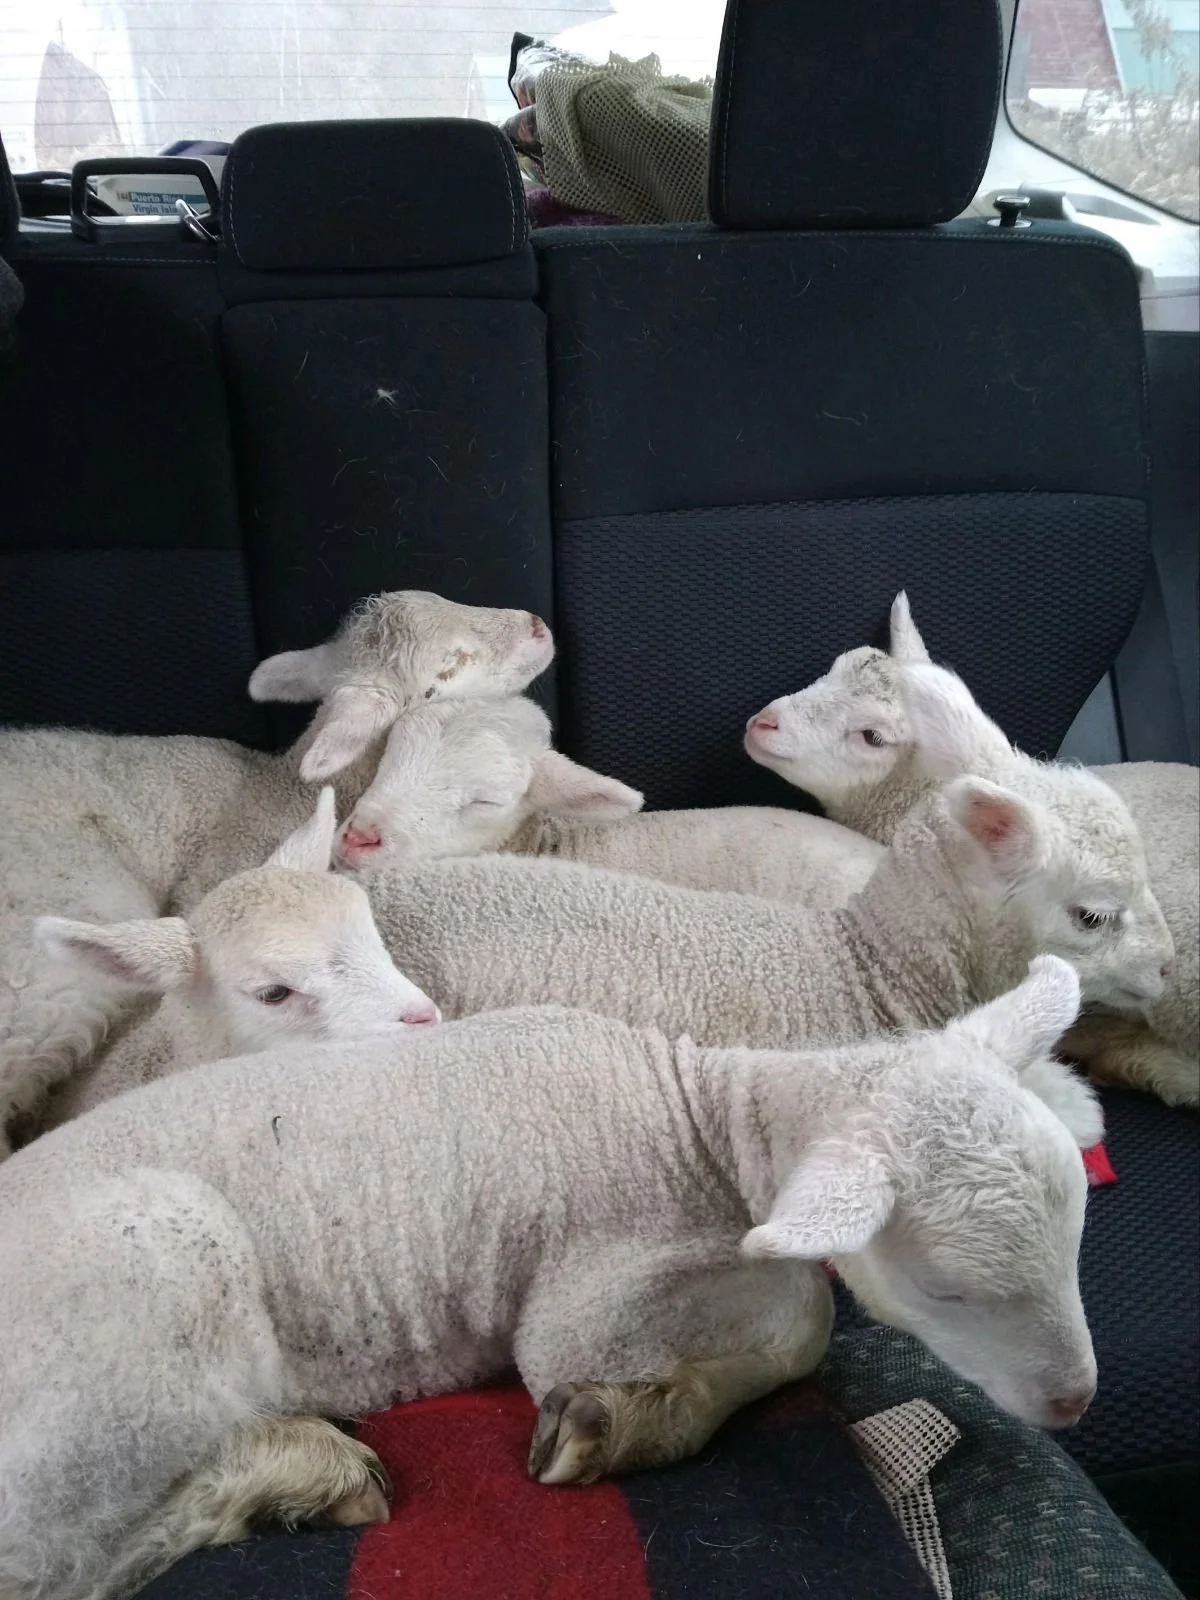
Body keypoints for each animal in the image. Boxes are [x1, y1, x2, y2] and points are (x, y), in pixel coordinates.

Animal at [0, 955, 1102, 1598]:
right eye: (948, 1291)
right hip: (150, 1284)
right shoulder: (587, 1297)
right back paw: (288, 1474)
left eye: (1077, 1236)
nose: (1074, 1402)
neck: (698, 1114)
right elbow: (799, 1320)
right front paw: (630, 1417)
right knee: (53, 1556)